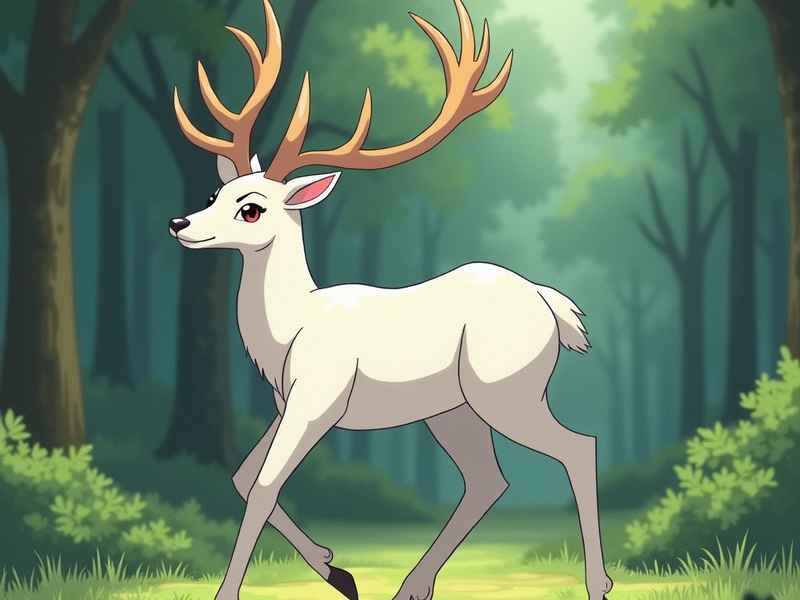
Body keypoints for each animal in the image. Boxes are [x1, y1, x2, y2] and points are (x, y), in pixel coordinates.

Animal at [168, 1, 613, 599]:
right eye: (217, 192)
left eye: (252, 208)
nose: (179, 224)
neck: (290, 330)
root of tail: (552, 306)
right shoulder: (287, 404)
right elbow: (242, 477)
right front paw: (337, 569)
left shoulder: (318, 401)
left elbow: (262, 486)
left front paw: (231, 591)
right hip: (452, 410)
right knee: (488, 480)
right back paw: (411, 585)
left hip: (507, 392)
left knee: (578, 447)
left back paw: (598, 583)